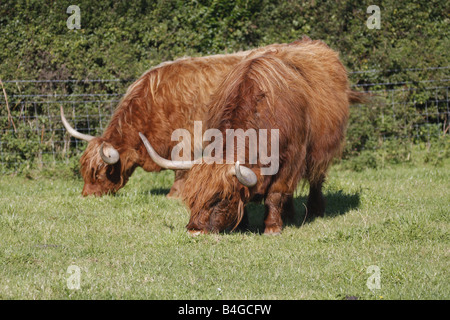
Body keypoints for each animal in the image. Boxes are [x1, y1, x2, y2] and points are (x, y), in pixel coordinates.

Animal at [141, 38, 366, 236]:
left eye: (220, 198)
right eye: (191, 199)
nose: (194, 230)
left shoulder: (291, 159)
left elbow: (275, 194)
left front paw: (272, 227)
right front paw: (242, 225)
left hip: (322, 149)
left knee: (316, 178)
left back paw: (315, 210)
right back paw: (289, 214)